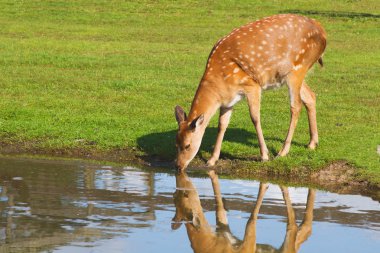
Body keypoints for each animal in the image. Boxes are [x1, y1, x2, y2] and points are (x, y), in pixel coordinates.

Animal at [171, 170, 314, 253]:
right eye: (174, 195)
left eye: (185, 194)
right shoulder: (225, 231)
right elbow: (220, 210)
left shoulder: (246, 246)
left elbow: (250, 222)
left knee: (294, 228)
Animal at [175, 13, 326, 170]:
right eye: (176, 144)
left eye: (187, 145)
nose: (178, 165)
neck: (219, 82)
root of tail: (322, 30)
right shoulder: (228, 100)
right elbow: (222, 124)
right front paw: (212, 159)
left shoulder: (252, 86)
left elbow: (255, 117)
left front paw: (264, 155)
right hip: (292, 74)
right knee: (310, 96)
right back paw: (312, 143)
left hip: (297, 69)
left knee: (296, 106)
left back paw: (283, 151)